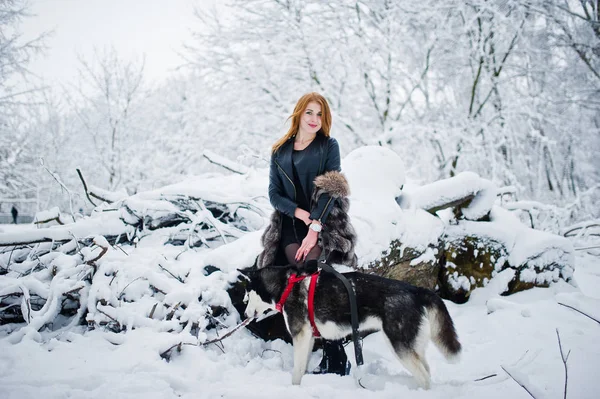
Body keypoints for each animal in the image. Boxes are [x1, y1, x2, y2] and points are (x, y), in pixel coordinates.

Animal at [241, 266, 462, 390]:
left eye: (247, 295)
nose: (244, 313)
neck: (287, 285)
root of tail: (416, 289)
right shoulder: (309, 337)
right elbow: (302, 368)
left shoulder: (301, 336)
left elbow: (296, 372)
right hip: (413, 345)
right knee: (426, 372)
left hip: (399, 346)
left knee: (424, 376)